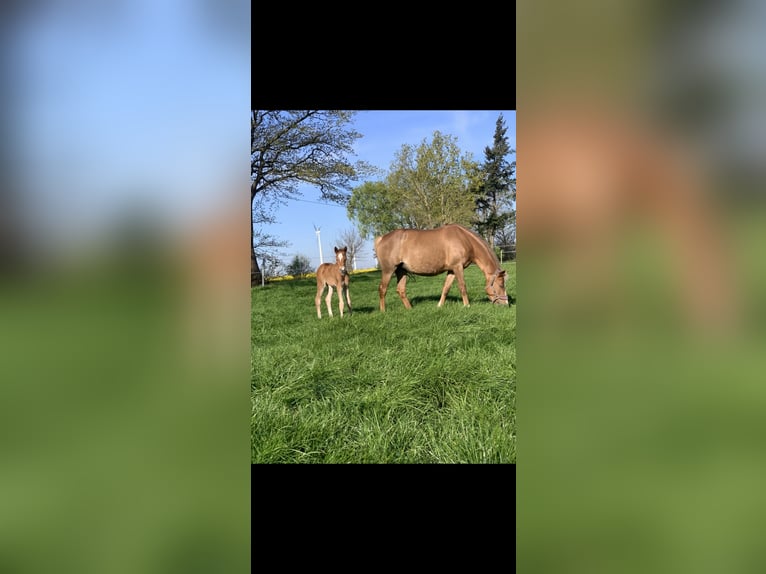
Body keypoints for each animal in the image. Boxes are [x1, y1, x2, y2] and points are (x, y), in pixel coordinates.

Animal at [376, 225, 510, 312]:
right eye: (501, 284)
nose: (506, 304)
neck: (465, 239)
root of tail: (381, 238)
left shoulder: (451, 270)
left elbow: (446, 288)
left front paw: (440, 305)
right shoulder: (458, 267)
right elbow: (462, 287)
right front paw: (467, 306)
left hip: (401, 271)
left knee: (401, 290)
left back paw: (410, 309)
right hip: (388, 270)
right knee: (382, 289)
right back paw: (383, 312)